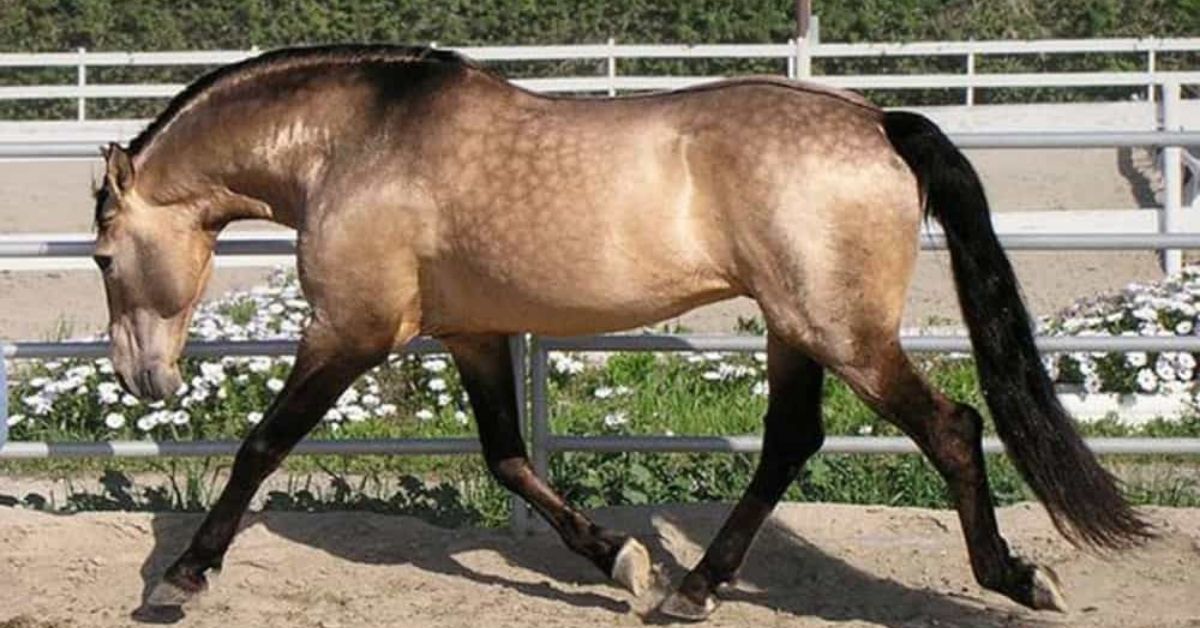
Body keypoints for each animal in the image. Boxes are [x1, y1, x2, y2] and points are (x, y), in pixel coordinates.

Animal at [91, 42, 1142, 619]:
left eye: (102, 257)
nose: (145, 381)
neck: (358, 143)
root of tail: (878, 120)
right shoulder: (472, 334)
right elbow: (510, 459)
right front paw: (623, 561)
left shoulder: (352, 331)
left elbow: (261, 445)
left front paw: (181, 577)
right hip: (795, 329)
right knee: (790, 442)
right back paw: (691, 589)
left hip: (845, 334)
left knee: (953, 429)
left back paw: (1015, 578)